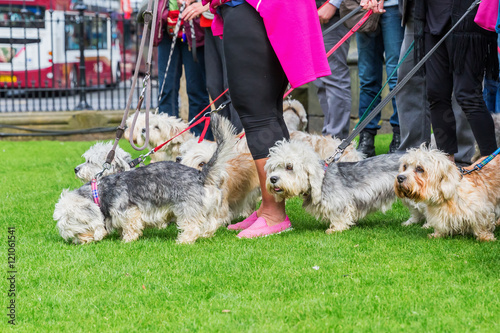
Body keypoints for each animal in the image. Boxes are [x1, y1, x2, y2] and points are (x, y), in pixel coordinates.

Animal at [53, 114, 237, 244]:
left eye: (77, 230)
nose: (80, 242)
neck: (100, 192)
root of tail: (201, 175)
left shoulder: (129, 211)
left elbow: (131, 226)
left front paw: (126, 240)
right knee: (211, 224)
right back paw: (205, 235)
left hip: (187, 209)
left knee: (192, 227)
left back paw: (183, 241)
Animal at [264, 139, 420, 232]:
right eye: (273, 168)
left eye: (289, 167)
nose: (273, 179)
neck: (322, 179)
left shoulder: (339, 203)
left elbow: (339, 216)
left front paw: (335, 229)